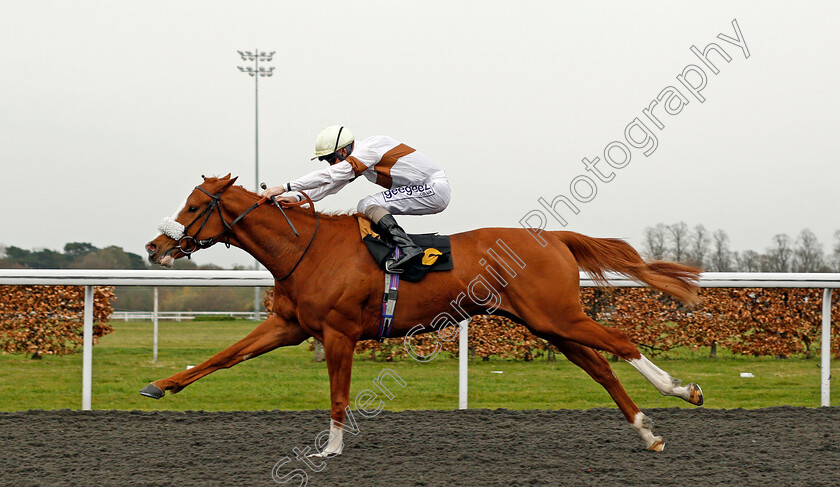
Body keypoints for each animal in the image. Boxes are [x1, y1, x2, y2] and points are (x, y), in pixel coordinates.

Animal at [143, 176, 704, 458]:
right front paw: (160, 385)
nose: (154, 247)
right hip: (550, 323)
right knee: (603, 367)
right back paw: (646, 432)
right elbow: (222, 357)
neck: (308, 249)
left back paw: (681, 389)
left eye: (193, 206)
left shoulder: (339, 332)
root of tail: (554, 237)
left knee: (623, 343)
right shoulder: (291, 326)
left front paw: (331, 449)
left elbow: (340, 396)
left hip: (559, 317)